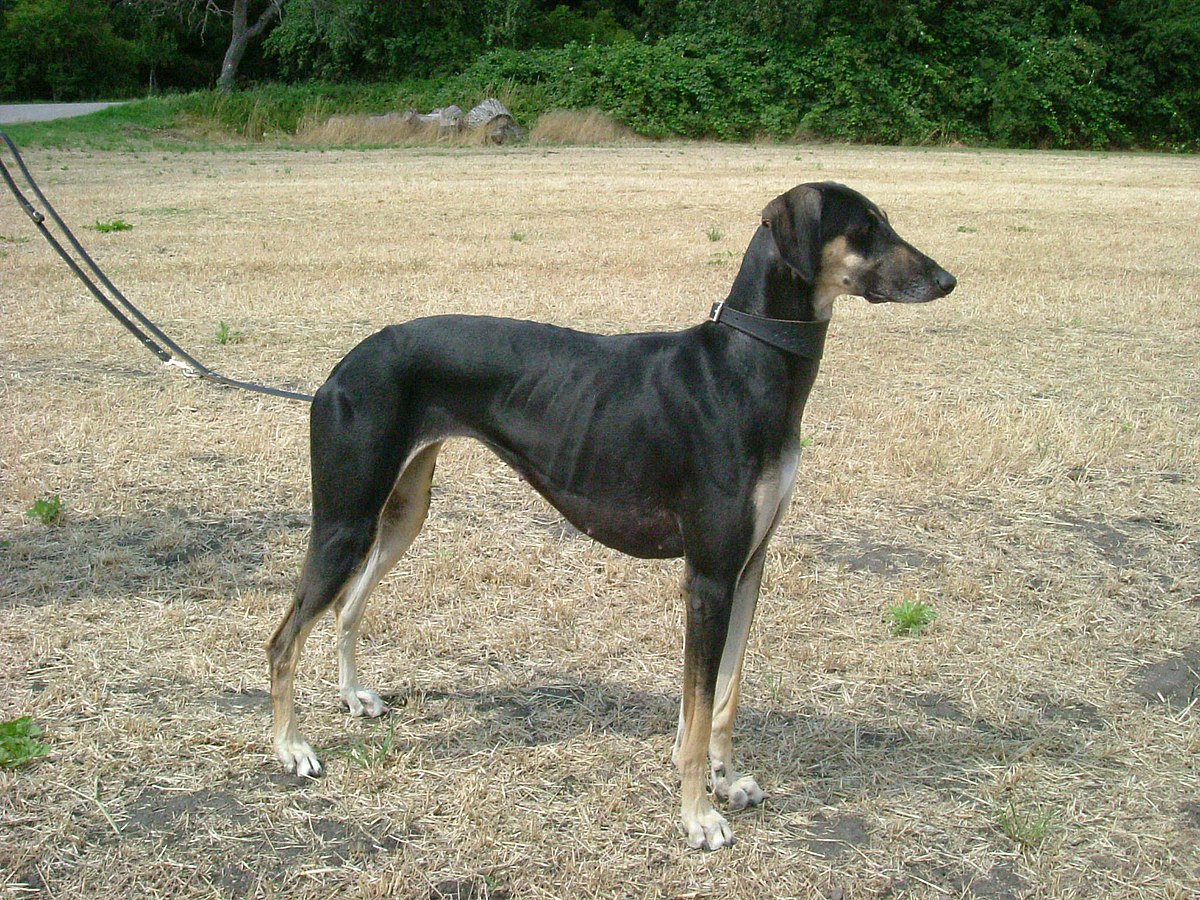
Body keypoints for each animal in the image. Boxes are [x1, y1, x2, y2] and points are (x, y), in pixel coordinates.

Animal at [267, 184, 950, 854]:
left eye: (884, 221)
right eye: (864, 228)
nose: (947, 280)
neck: (745, 362)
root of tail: (344, 365)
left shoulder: (749, 566)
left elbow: (723, 698)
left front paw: (727, 782)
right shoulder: (709, 577)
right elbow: (702, 706)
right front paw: (698, 816)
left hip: (402, 513)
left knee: (347, 606)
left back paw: (352, 696)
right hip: (345, 521)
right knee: (284, 639)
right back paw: (291, 749)